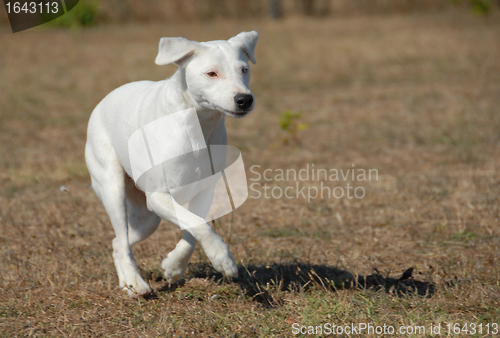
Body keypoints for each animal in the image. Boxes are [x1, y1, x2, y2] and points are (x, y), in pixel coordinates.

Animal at [84, 30, 260, 298]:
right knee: (122, 240)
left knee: (117, 243)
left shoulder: (204, 192)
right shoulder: (158, 196)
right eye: (212, 73)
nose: (244, 99)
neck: (197, 126)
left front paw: (174, 267)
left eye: (244, 70)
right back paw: (137, 284)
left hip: (148, 218)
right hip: (113, 188)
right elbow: (198, 225)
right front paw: (223, 259)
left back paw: (127, 284)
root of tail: (104, 100)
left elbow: (194, 227)